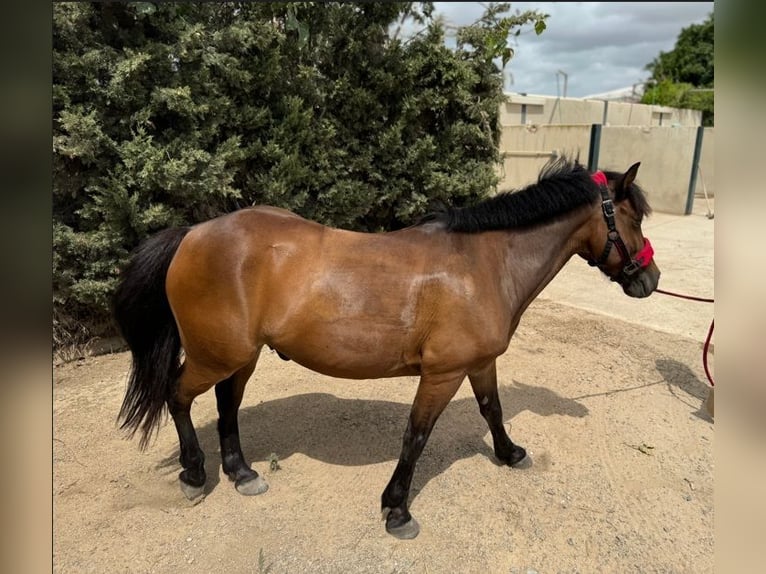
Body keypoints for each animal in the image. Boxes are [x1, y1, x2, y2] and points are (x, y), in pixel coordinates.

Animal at [112, 157, 660, 539]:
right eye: (633, 220)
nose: (650, 280)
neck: (483, 265)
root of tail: (192, 234)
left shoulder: (479, 363)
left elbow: (493, 409)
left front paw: (510, 454)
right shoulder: (442, 374)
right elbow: (416, 436)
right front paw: (397, 509)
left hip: (241, 357)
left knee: (227, 405)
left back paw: (242, 473)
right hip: (215, 355)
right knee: (178, 397)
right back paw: (193, 474)